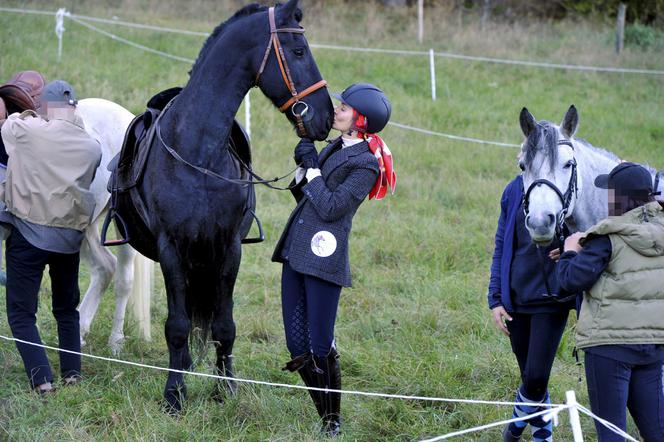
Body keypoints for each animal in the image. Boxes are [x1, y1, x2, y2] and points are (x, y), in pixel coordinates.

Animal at [114, 0, 334, 410]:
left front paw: (225, 389)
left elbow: (224, 325)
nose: (326, 115)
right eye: (299, 51)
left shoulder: (229, 248)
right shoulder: (171, 249)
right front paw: (174, 395)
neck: (198, 151)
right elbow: (177, 326)